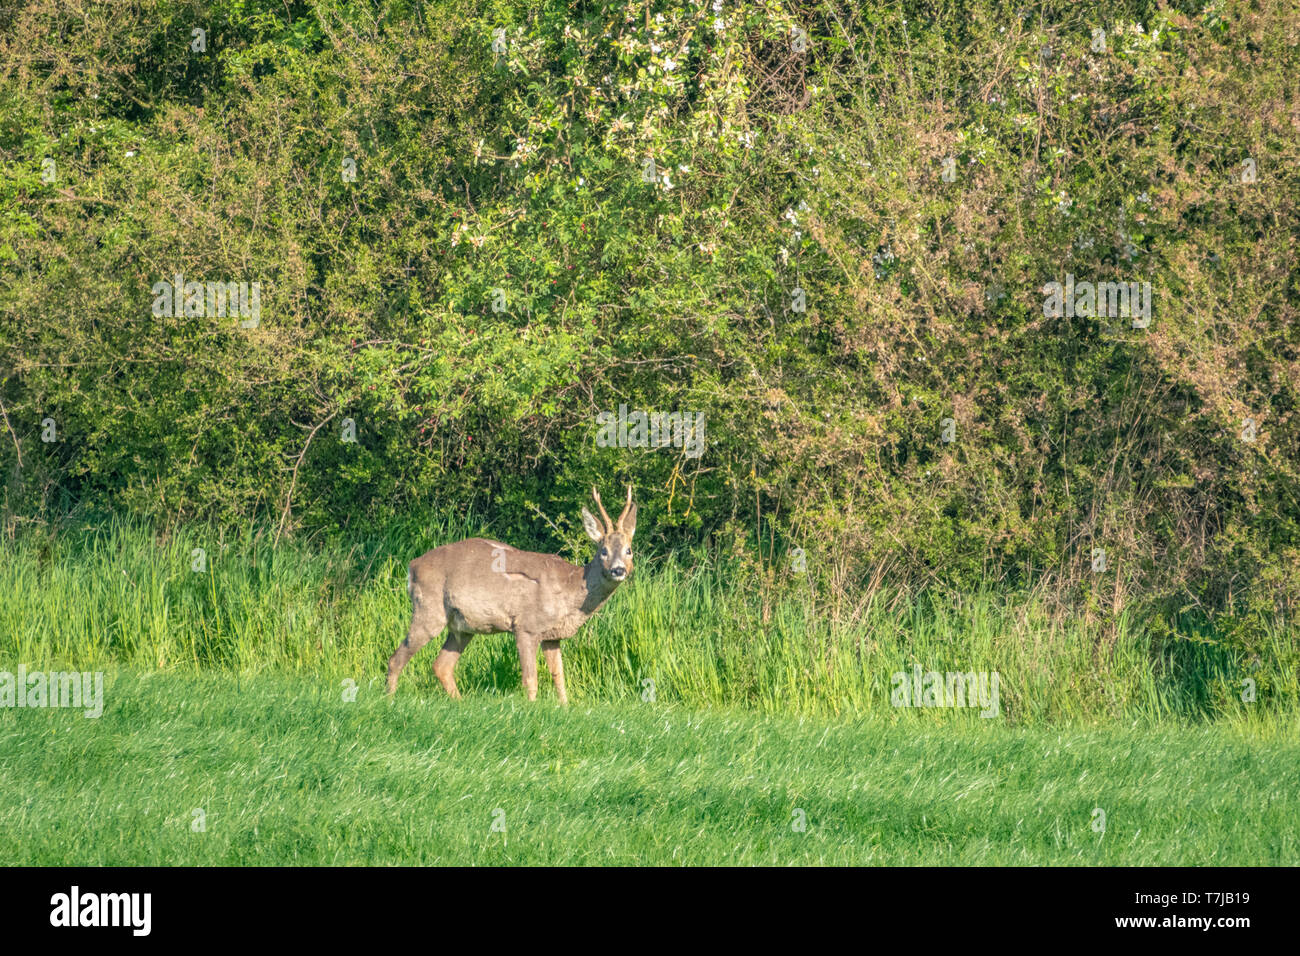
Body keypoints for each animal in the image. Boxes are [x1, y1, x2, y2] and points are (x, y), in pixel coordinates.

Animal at [384, 486, 639, 702]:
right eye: (603, 551)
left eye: (629, 550)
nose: (618, 570)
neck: (570, 591)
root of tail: (412, 566)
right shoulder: (526, 626)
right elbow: (530, 679)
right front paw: (533, 710)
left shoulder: (552, 635)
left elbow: (559, 678)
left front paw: (565, 708)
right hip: (429, 609)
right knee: (396, 658)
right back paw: (390, 700)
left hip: (462, 626)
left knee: (442, 665)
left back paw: (460, 703)